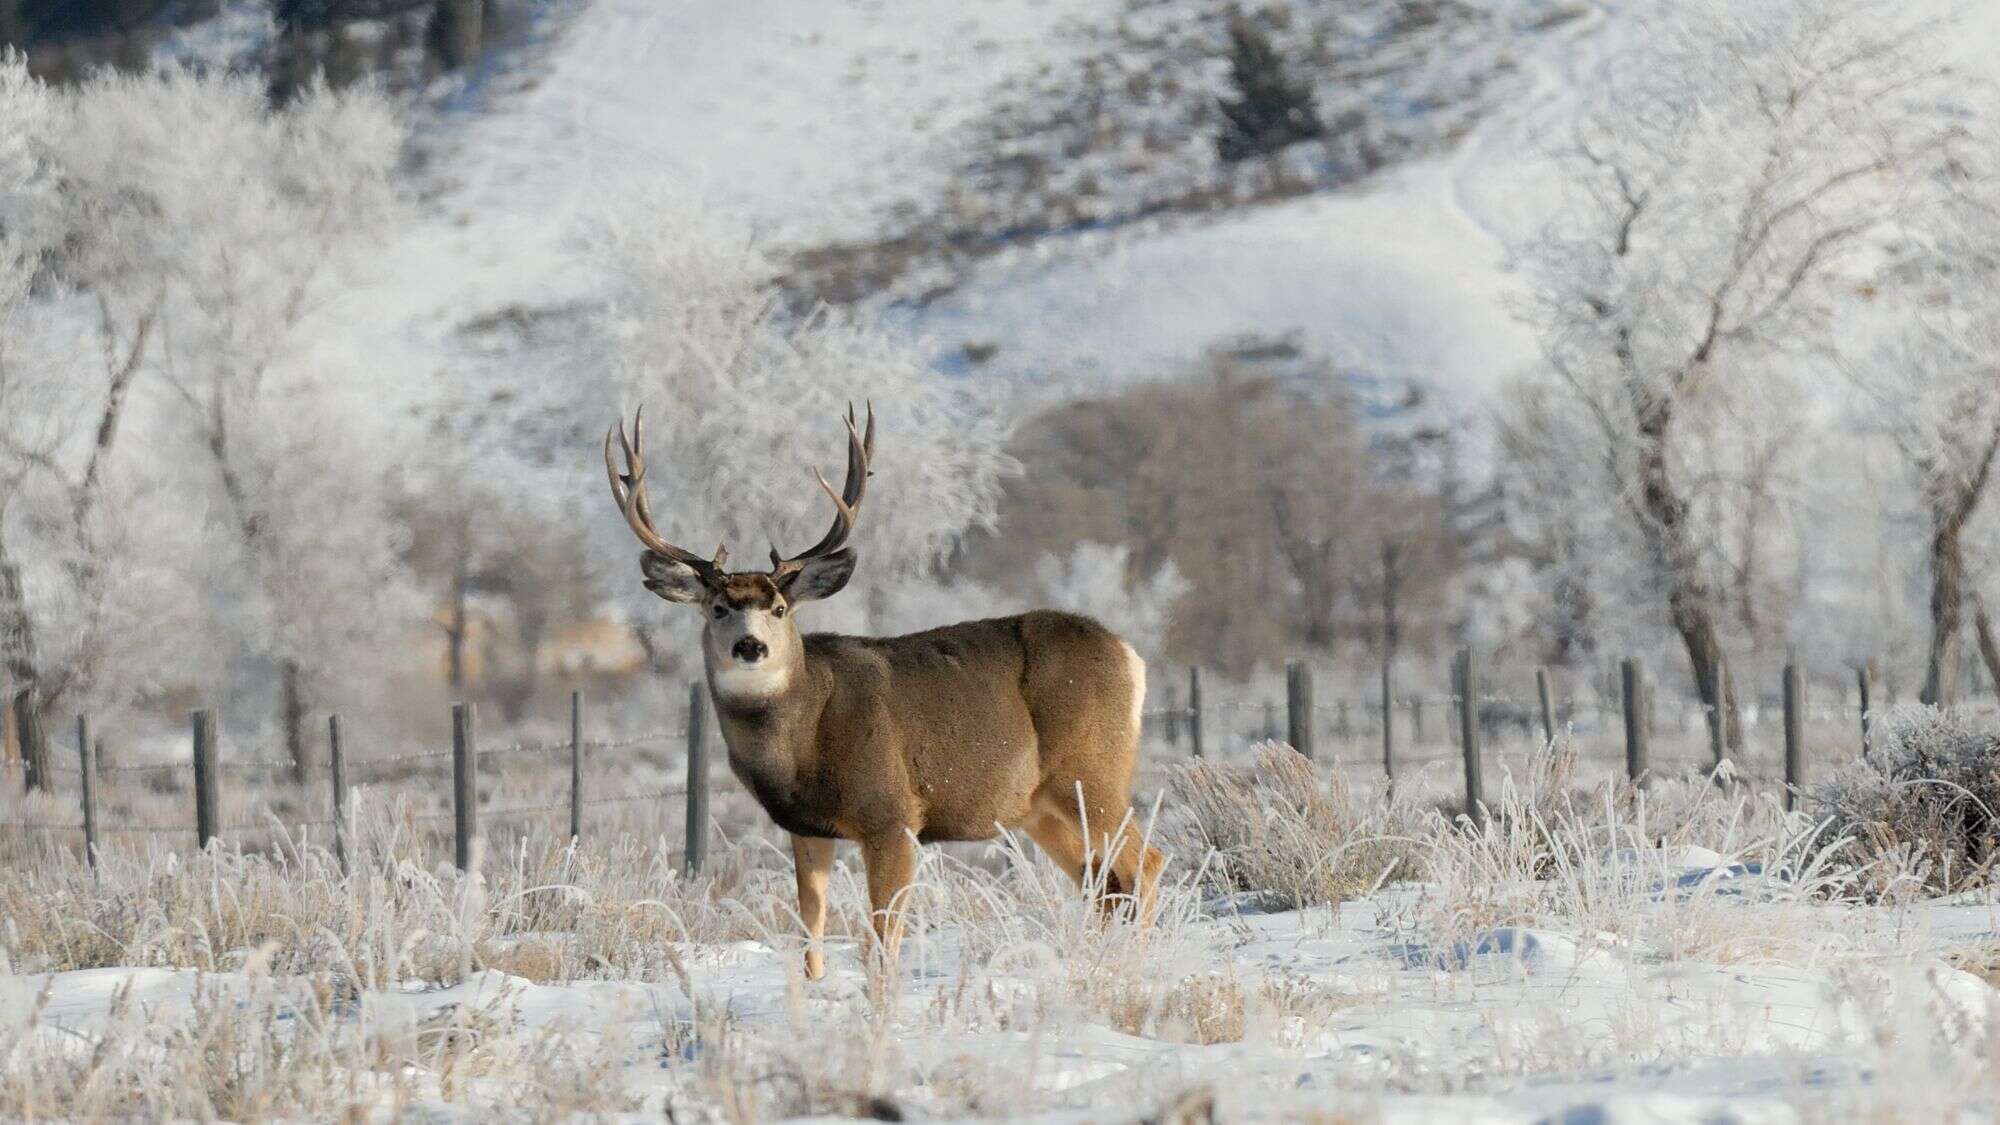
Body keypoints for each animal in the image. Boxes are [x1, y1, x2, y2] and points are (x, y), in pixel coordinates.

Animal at [604, 404, 1165, 980]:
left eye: (779, 609)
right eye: (717, 608)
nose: (749, 646)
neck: (804, 739)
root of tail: (1130, 654)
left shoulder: (893, 815)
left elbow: (881, 939)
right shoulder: (806, 826)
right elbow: (810, 932)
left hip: (1091, 771)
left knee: (1143, 863)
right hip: (1038, 807)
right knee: (1102, 882)